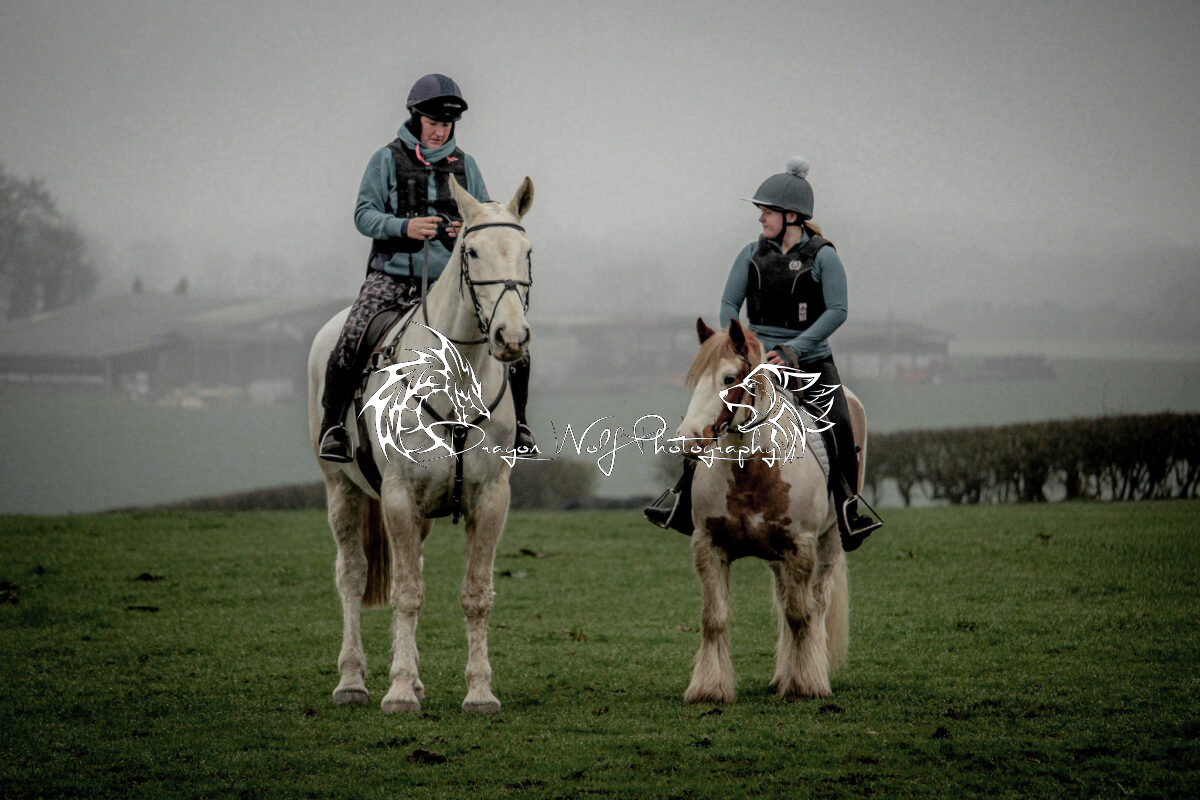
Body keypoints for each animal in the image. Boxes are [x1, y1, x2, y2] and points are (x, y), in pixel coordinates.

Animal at [307, 176, 534, 714]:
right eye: (471, 251)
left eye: (527, 252)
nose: (511, 337)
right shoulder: (398, 494)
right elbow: (406, 593)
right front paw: (399, 691)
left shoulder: (490, 498)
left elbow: (476, 594)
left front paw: (479, 692)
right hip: (341, 490)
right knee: (352, 575)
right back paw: (352, 681)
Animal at [675, 317, 864, 703]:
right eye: (696, 378)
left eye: (729, 379)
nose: (688, 439)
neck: (752, 470)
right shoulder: (708, 546)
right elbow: (713, 618)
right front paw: (708, 687)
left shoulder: (801, 547)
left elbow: (801, 615)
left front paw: (805, 683)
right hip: (777, 558)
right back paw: (781, 676)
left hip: (830, 542)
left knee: (817, 604)